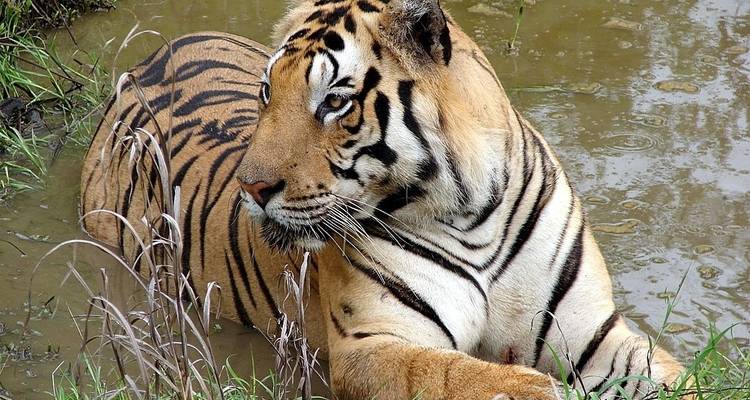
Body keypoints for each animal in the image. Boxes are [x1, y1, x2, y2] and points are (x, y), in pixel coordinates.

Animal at [80, 0, 690, 399]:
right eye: (268, 94)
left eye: (334, 102)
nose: (250, 188)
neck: (475, 215)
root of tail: (158, 50)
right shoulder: (371, 345)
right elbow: (460, 376)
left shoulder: (592, 333)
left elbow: (671, 376)